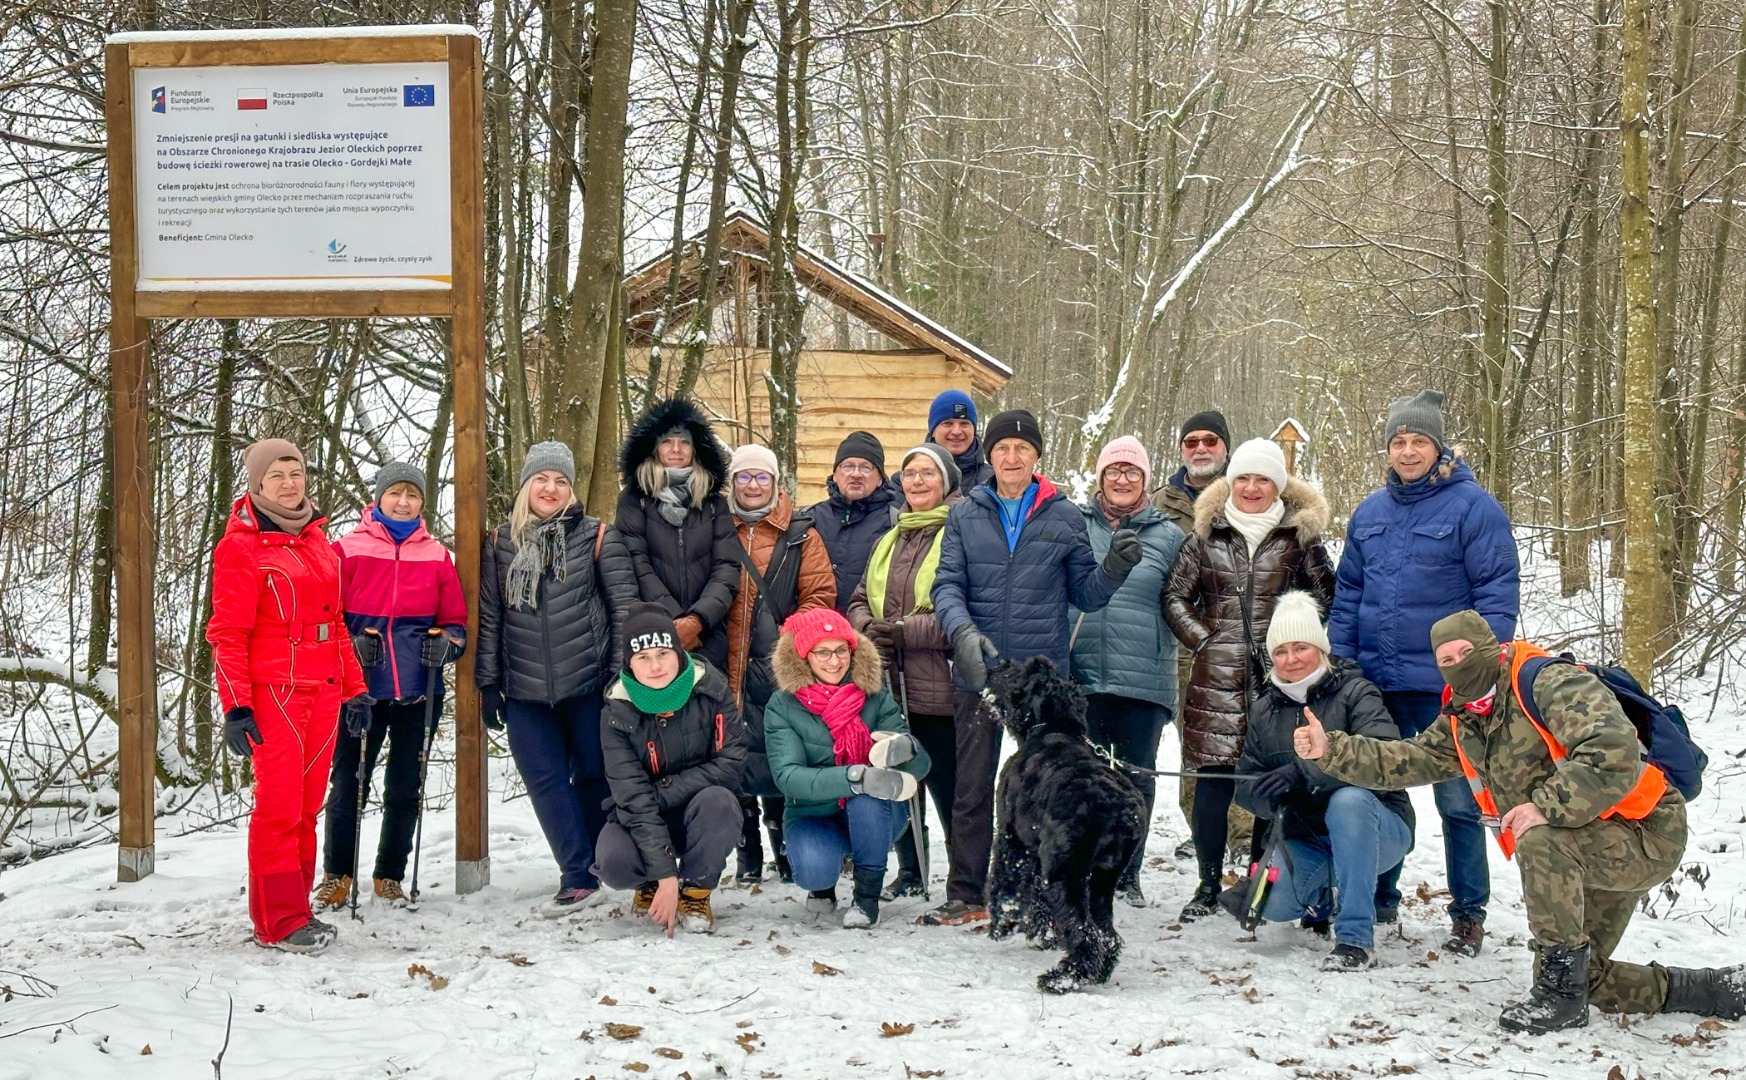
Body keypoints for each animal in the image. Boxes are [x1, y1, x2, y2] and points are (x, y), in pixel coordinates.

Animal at [991, 656, 1152, 991]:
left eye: (1019, 675)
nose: (998, 666)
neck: (1054, 729)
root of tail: (1121, 812)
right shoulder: (1038, 855)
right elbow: (1036, 898)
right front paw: (1040, 931)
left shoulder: (1012, 837)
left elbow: (1005, 881)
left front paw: (1004, 922)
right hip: (1102, 880)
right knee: (1106, 934)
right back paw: (1096, 973)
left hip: (1068, 874)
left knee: (1086, 933)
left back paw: (1063, 978)